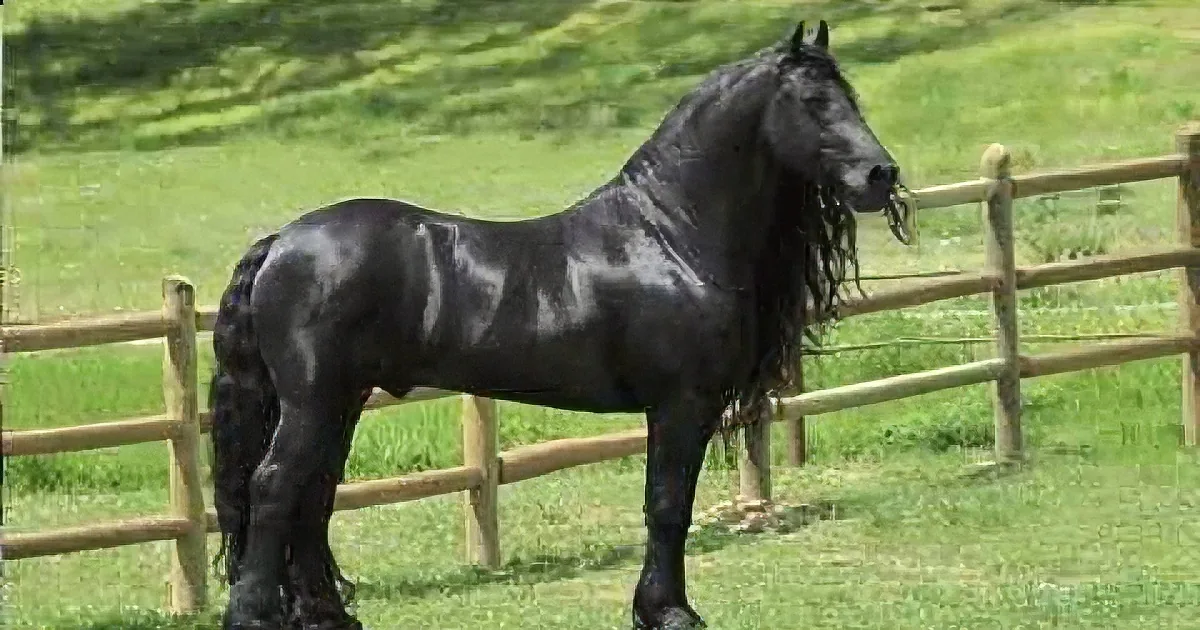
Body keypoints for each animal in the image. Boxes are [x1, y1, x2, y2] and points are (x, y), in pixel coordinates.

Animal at [209, 18, 908, 630]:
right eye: (814, 101)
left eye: (849, 96)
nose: (882, 175)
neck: (671, 234)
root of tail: (282, 241)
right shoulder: (681, 404)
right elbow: (667, 506)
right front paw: (667, 612)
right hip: (313, 398)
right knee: (274, 489)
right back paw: (252, 616)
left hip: (342, 399)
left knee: (314, 498)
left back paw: (329, 616)